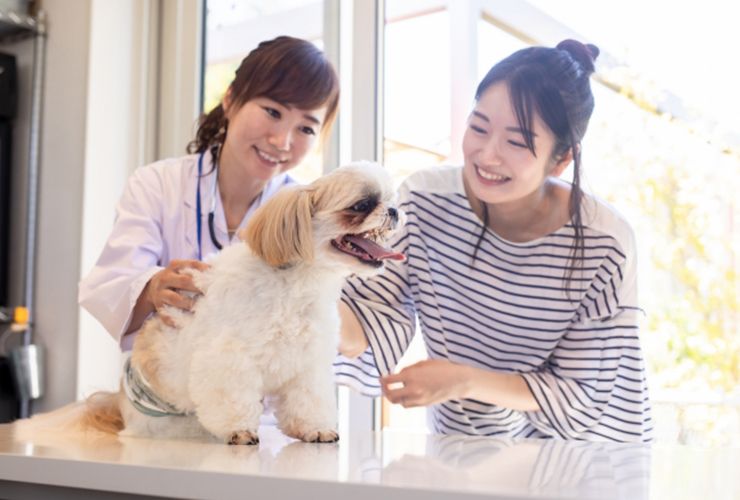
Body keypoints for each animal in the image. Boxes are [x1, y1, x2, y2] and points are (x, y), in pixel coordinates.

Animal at [11, 161, 404, 446]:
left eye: (390, 198)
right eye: (362, 205)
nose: (395, 211)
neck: (295, 283)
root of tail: (119, 401)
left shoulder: (306, 365)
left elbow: (308, 400)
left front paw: (314, 429)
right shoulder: (228, 357)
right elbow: (232, 396)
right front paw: (239, 431)